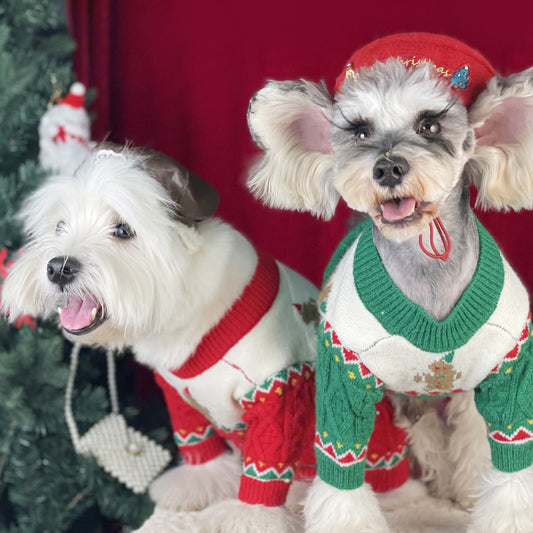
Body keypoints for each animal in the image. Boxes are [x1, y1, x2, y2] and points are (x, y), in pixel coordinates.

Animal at [2, 145, 318, 532]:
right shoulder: (177, 393)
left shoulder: (278, 389)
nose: (57, 268)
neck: (183, 311)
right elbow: (197, 443)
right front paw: (199, 483)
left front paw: (250, 516)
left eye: (123, 229)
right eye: (60, 225)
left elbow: (267, 465)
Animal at [247, 34, 532, 532]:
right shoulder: (344, 378)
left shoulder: (509, 372)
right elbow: (341, 473)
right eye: (360, 131)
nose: (387, 167)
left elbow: (509, 466)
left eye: (430, 125)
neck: (427, 269)